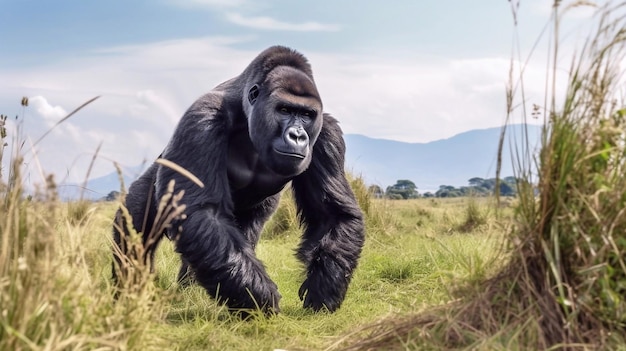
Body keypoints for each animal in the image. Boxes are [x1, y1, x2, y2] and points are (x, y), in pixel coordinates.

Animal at [112, 45, 364, 314]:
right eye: (284, 110)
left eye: (306, 114)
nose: (297, 136)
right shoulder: (203, 116)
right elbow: (203, 213)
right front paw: (260, 297)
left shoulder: (327, 133)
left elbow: (333, 215)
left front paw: (323, 288)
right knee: (135, 232)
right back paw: (129, 297)